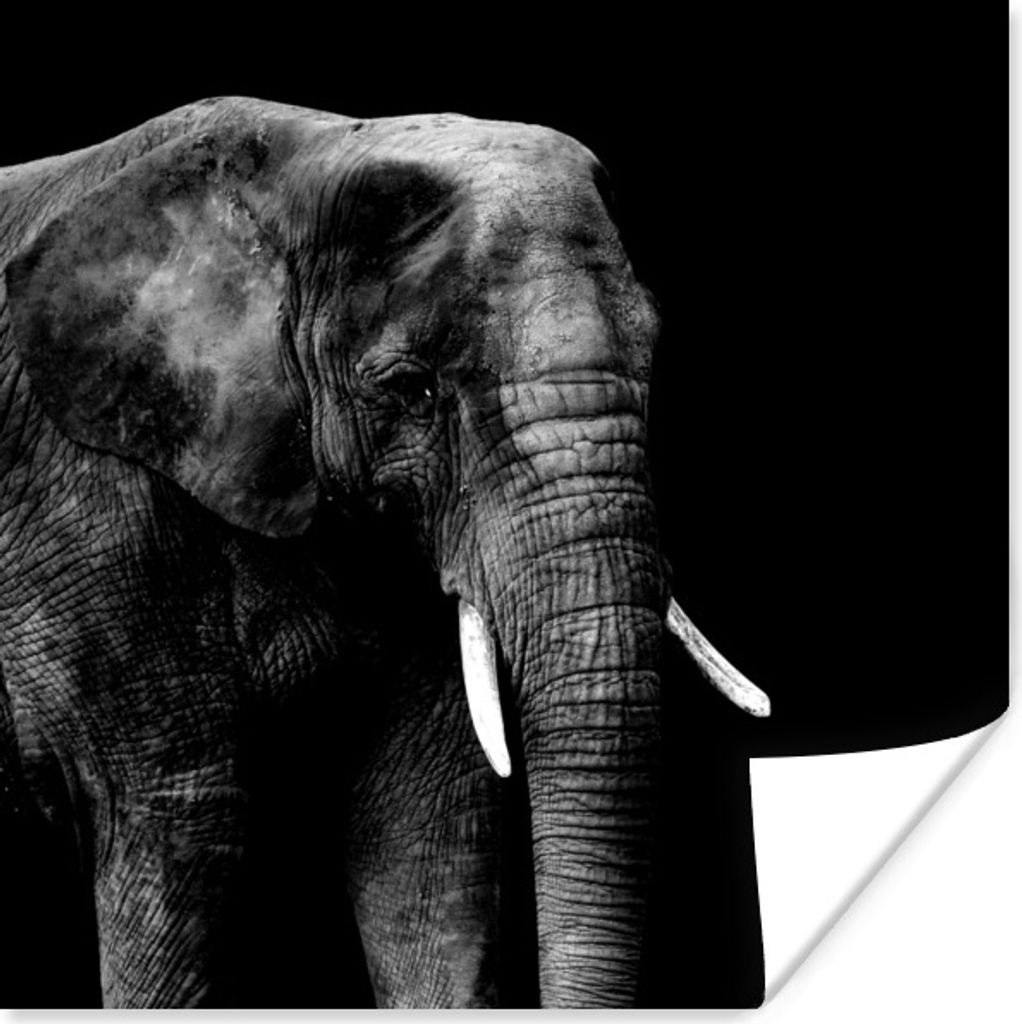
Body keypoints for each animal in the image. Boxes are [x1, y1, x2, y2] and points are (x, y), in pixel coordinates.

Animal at [0, 96, 771, 1008]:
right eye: (411, 388)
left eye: (654, 358)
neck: (301, 163)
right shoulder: (87, 507)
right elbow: (170, 821)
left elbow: (425, 836)